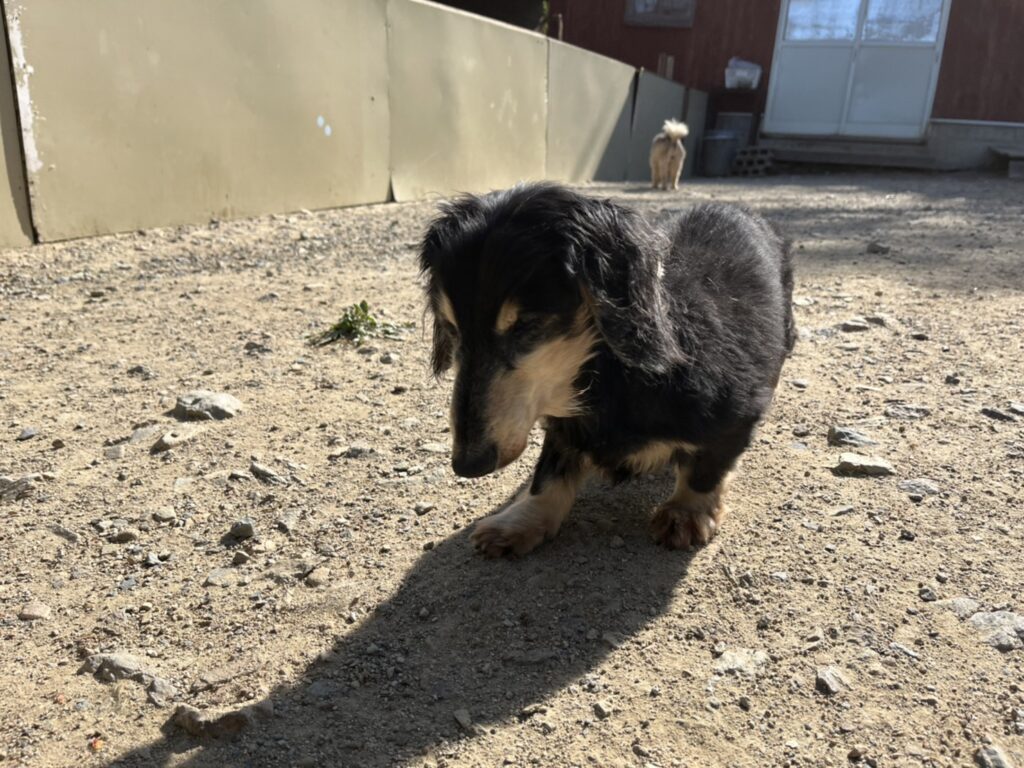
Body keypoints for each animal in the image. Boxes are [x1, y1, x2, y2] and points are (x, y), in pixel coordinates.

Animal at [419, 183, 794, 557]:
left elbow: (707, 467)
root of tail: (734, 207)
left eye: (526, 325)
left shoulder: (737, 413)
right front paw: (521, 520)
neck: (608, 374)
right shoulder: (565, 424)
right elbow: (550, 471)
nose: (467, 465)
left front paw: (685, 512)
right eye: (452, 328)